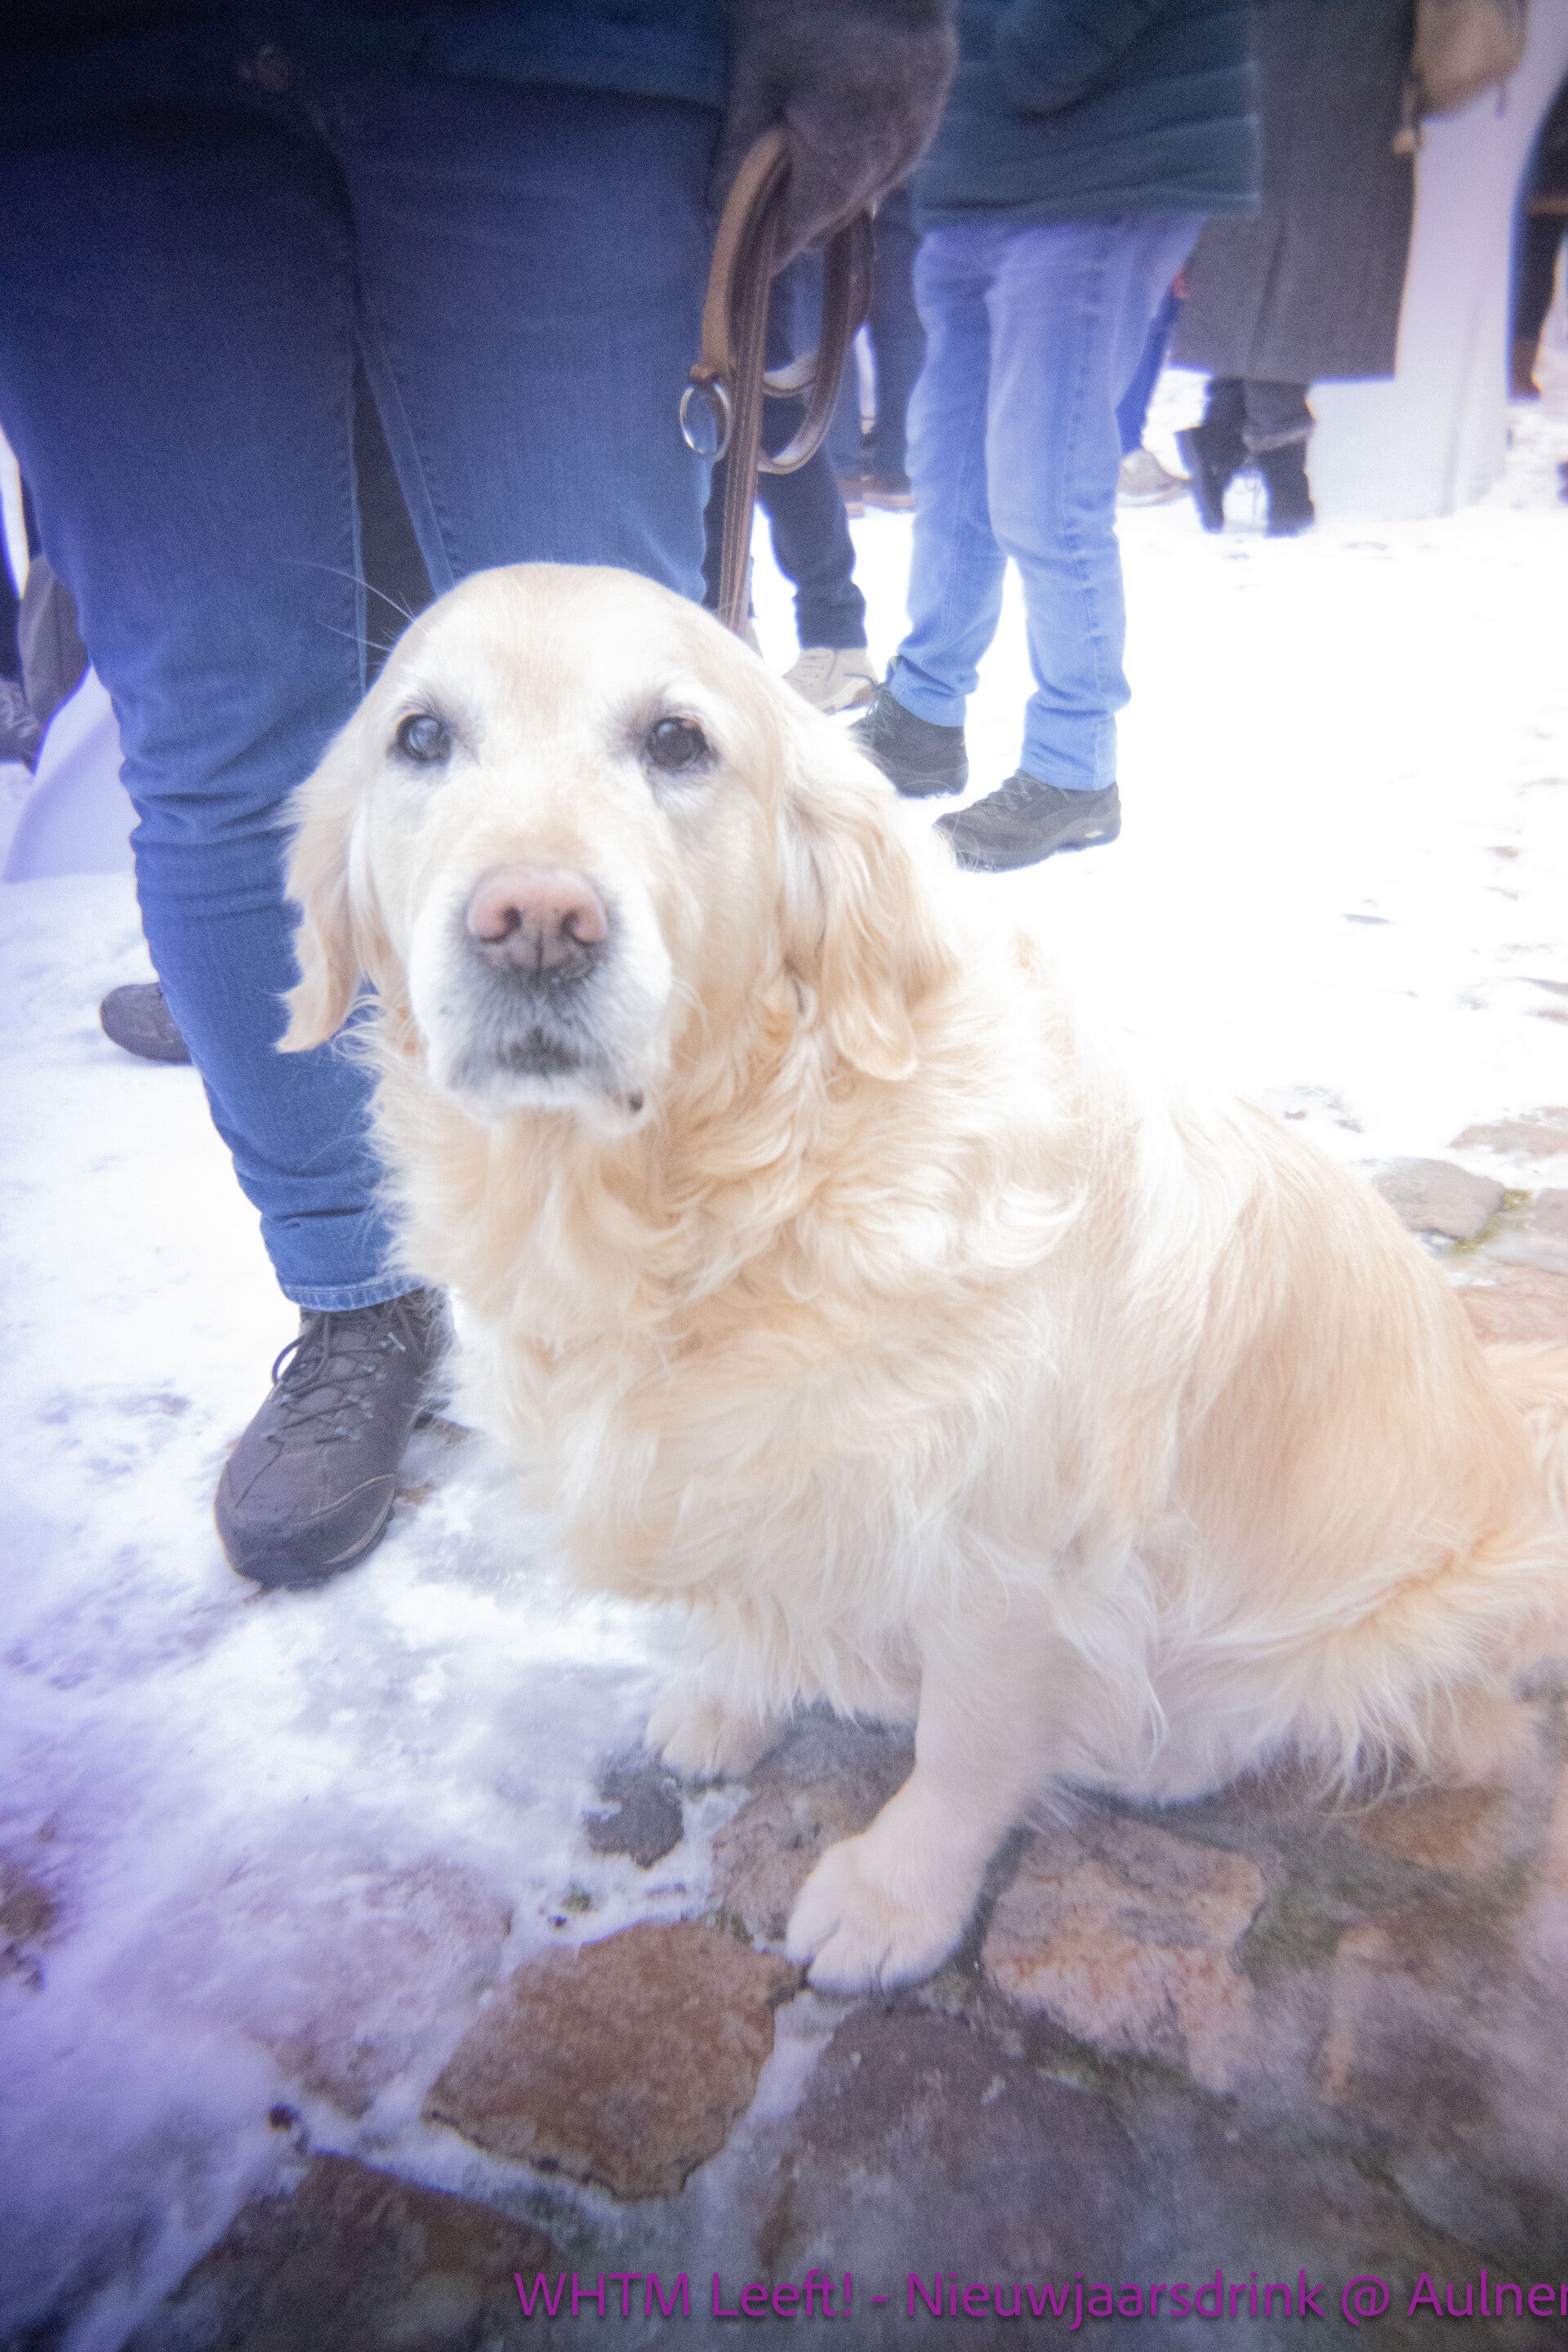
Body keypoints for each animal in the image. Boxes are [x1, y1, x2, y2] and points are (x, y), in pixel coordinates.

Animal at [282, 563, 1568, 1994]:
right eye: (419, 737)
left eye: (677, 741)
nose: (536, 926)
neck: (727, 1196)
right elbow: (754, 1604)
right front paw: (726, 1700)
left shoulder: (1010, 1558)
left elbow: (963, 1750)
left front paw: (894, 1899)